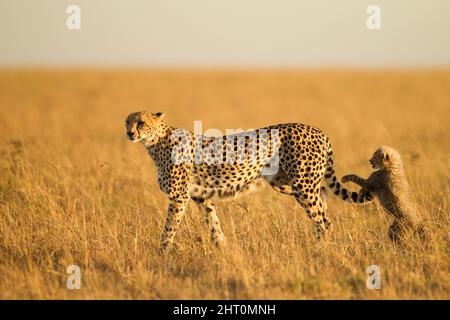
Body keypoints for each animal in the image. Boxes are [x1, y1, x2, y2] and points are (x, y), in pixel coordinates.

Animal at [125, 111, 370, 254]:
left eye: (141, 122)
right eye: (127, 122)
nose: (129, 133)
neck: (155, 141)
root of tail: (317, 130)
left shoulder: (179, 197)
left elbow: (169, 227)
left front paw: (162, 253)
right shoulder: (201, 197)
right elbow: (214, 224)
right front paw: (222, 249)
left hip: (304, 187)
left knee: (323, 221)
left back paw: (320, 251)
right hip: (299, 185)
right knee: (324, 212)